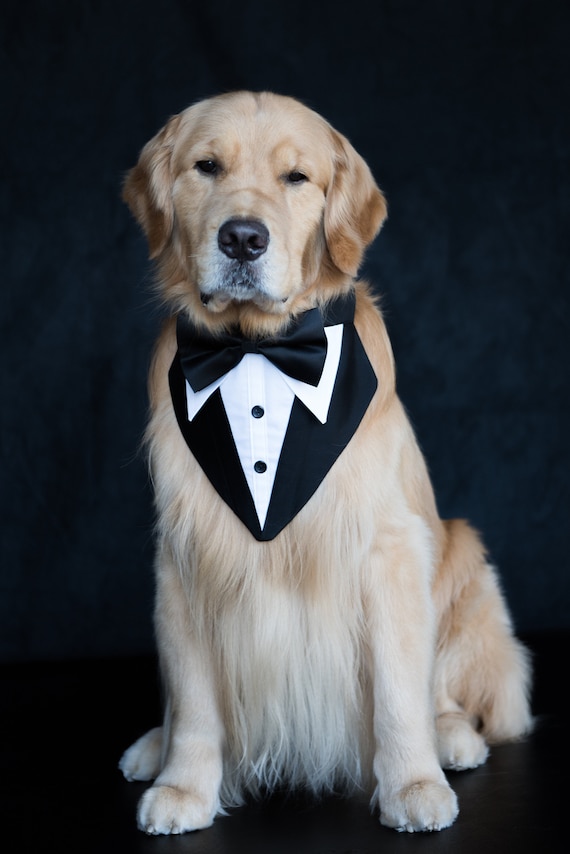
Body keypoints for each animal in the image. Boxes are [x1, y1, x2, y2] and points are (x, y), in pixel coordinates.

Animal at [117, 92, 532, 836]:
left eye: (297, 178)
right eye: (207, 167)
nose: (242, 239)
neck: (256, 349)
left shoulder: (387, 550)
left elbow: (399, 690)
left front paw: (413, 785)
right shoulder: (185, 556)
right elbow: (193, 700)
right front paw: (185, 787)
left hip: (462, 556)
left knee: (443, 691)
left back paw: (451, 737)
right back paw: (153, 748)